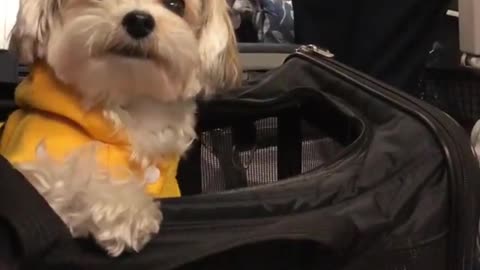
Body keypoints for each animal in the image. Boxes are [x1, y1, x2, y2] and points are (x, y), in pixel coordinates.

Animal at [0, 0, 240, 258]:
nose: (139, 21)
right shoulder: (30, 169)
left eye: (176, 5)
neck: (128, 103)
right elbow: (63, 174)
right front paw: (124, 208)